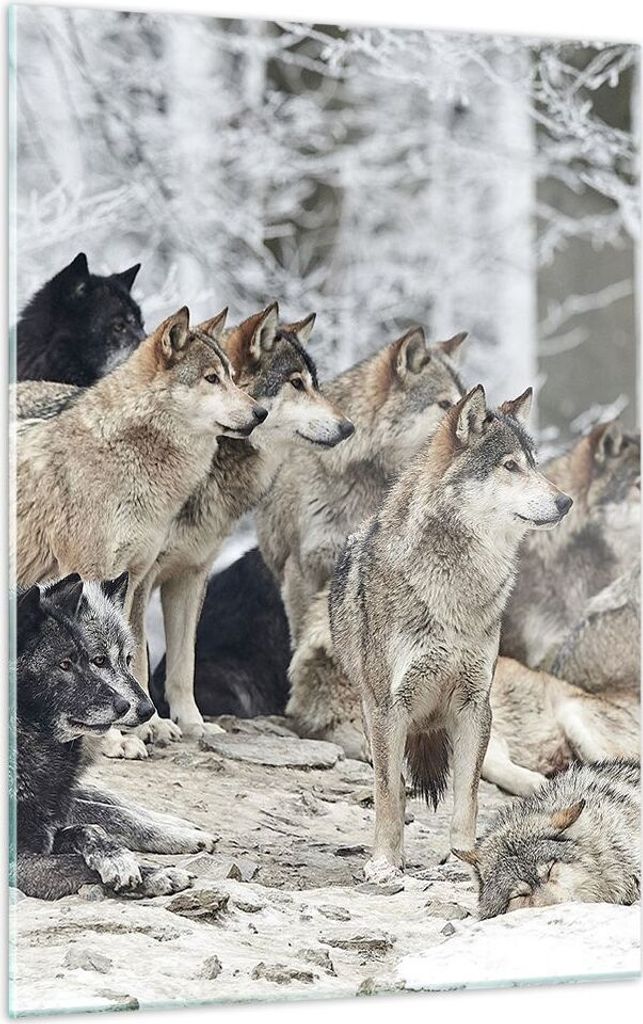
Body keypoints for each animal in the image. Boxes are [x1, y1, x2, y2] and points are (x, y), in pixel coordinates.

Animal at [14, 572, 217, 900]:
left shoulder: (62, 797)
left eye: (128, 659)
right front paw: (159, 862)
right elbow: (107, 821)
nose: (146, 710)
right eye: (98, 660)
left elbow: (112, 806)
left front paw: (182, 827)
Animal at [128, 302, 353, 745]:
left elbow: (183, 664)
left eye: (315, 384)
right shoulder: (139, 578)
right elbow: (139, 660)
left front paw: (193, 723)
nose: (348, 427)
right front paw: (151, 725)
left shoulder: (191, 575)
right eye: (296, 384)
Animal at [329, 385, 572, 881]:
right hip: (372, 715)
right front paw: (385, 864)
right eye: (510, 466)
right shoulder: (388, 708)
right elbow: (389, 795)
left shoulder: (475, 705)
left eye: (534, 463)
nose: (565, 502)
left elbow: (468, 797)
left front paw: (463, 857)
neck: (455, 587)